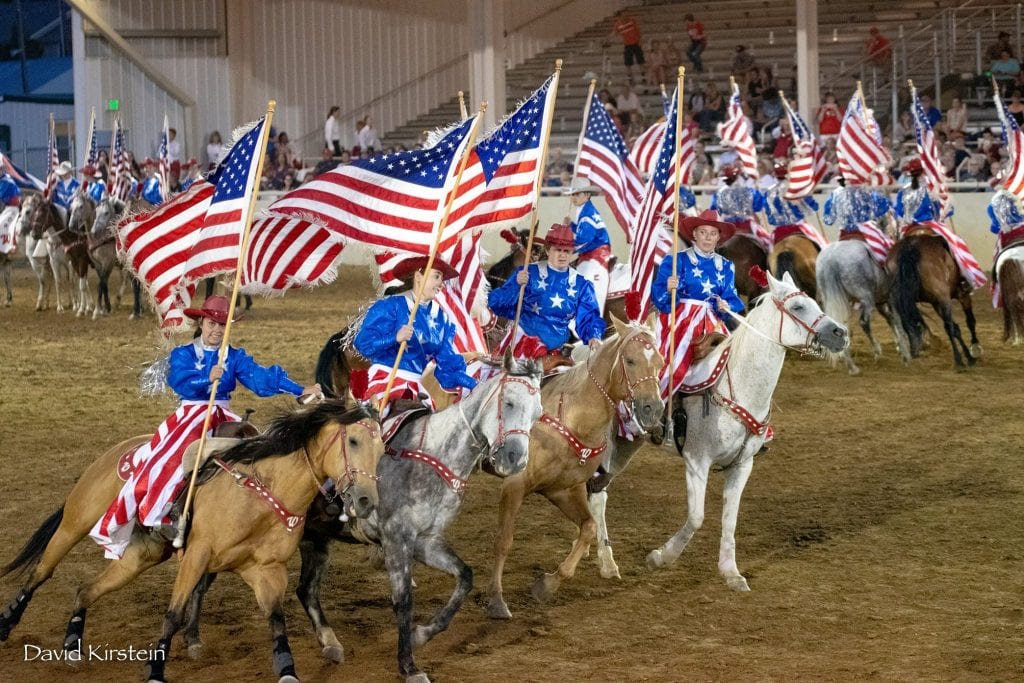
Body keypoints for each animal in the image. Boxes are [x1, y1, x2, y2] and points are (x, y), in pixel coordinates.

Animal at [485, 317, 663, 622]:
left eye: (661, 363)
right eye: (630, 360)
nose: (653, 409)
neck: (569, 417)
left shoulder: (563, 489)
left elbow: (589, 527)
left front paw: (548, 584)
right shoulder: (515, 484)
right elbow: (504, 540)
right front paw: (497, 600)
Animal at [643, 272, 851, 593]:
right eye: (799, 307)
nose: (841, 333)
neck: (739, 388)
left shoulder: (743, 465)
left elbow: (730, 518)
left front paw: (731, 573)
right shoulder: (696, 461)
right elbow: (697, 517)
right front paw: (661, 557)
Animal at [815, 236, 913, 374]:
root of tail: (831, 259)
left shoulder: (881, 302)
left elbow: (891, 320)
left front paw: (900, 348)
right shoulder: (892, 299)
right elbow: (898, 321)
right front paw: (905, 355)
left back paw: (852, 367)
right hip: (866, 299)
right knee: (864, 322)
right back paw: (877, 351)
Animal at [884, 232, 978, 368]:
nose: (914, 352)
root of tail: (909, 247)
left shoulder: (936, 303)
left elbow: (957, 328)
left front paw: (969, 354)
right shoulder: (961, 295)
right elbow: (970, 321)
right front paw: (974, 350)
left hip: (900, 299)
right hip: (944, 298)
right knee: (948, 326)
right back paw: (958, 360)